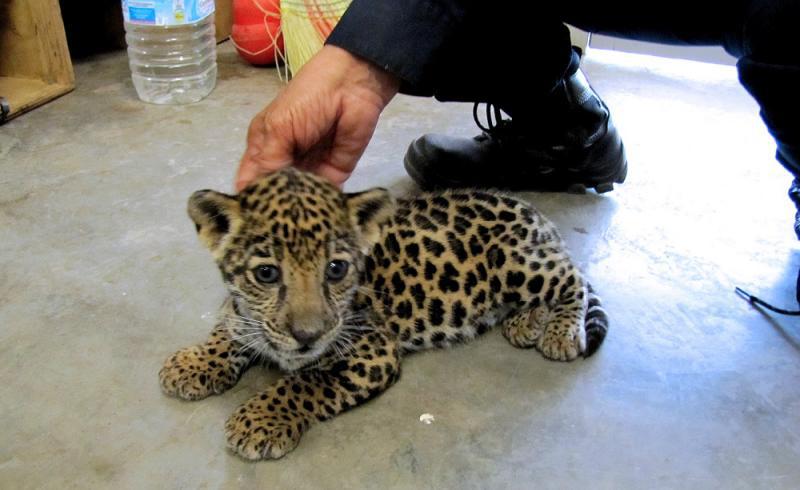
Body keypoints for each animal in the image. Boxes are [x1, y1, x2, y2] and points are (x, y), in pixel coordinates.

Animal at [159, 168, 609, 461]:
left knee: (574, 279)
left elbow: (304, 382)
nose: (309, 335)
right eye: (266, 273)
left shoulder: (372, 352)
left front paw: (259, 419)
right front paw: (192, 363)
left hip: (518, 264)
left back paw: (560, 334)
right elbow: (231, 326)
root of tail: (530, 209)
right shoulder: (247, 315)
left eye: (335, 269)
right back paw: (525, 323)